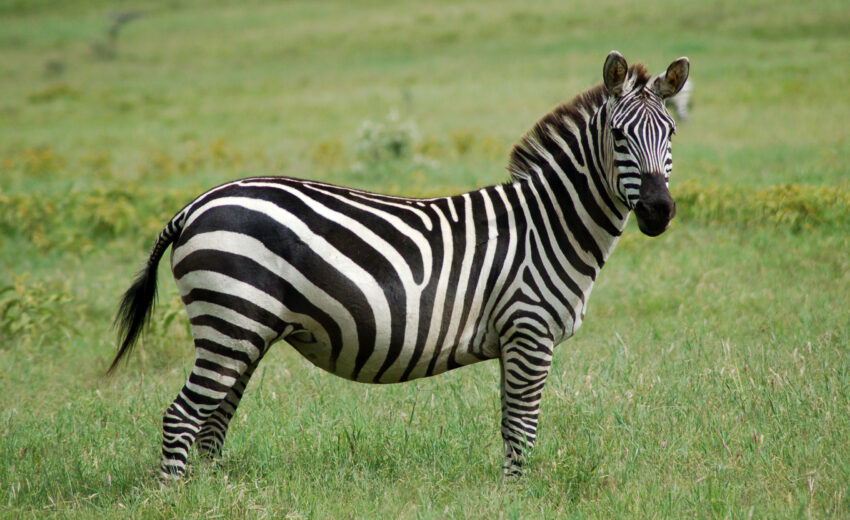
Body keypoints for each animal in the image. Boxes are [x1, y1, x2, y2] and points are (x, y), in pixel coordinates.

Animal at [107, 50, 688, 478]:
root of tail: (194, 205)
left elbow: (511, 425)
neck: (547, 224)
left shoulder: (514, 339)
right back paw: (174, 497)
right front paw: (516, 496)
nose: (658, 211)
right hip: (231, 319)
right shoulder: (529, 331)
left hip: (244, 328)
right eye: (619, 136)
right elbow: (522, 429)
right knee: (182, 416)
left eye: (672, 134)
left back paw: (213, 492)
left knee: (213, 418)